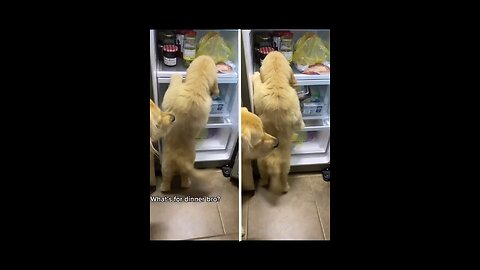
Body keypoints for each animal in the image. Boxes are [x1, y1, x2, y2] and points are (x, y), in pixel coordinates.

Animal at [253, 50, 306, 193]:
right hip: (279, 164)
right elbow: (300, 124)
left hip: (263, 162)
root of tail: (274, 161)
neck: (277, 83)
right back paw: (284, 187)